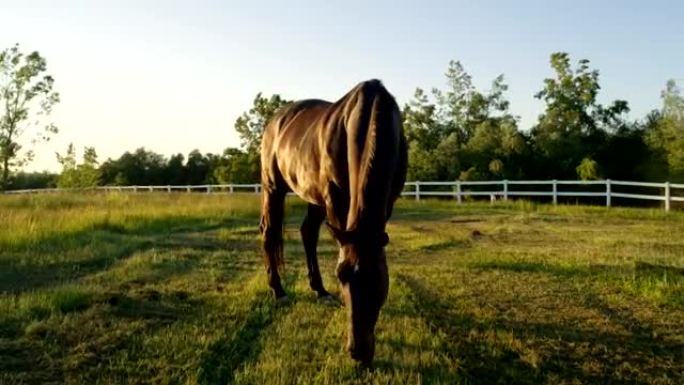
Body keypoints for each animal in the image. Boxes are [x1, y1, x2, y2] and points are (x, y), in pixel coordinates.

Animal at [256, 79, 406, 364]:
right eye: (341, 276)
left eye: (378, 280)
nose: (359, 353)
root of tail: (275, 121)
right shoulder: (334, 198)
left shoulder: (387, 202)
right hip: (273, 188)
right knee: (269, 234)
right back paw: (279, 291)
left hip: (314, 197)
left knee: (307, 233)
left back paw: (320, 291)